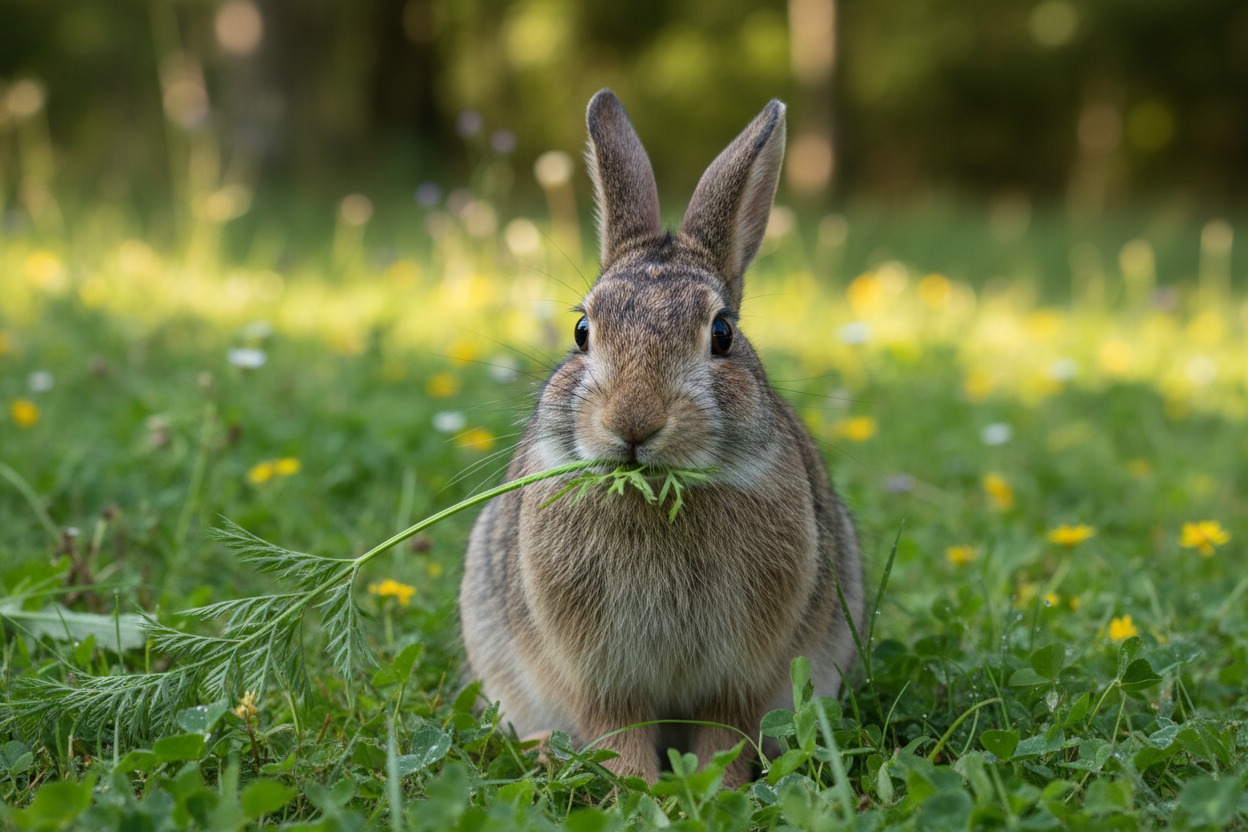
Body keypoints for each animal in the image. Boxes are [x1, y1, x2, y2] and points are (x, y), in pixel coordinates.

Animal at [459, 88, 864, 789]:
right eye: (582, 331)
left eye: (722, 334)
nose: (633, 421)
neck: (654, 492)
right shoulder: (602, 678)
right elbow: (617, 733)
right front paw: (641, 793)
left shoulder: (741, 676)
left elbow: (725, 733)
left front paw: (710, 791)